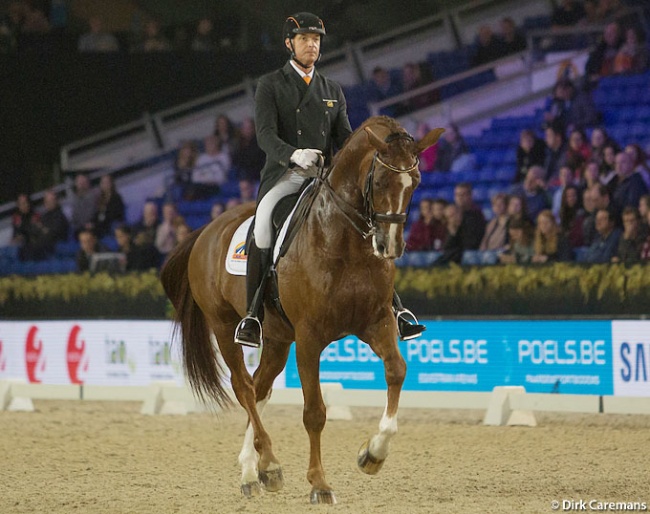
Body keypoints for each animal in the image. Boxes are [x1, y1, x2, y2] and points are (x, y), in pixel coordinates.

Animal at [159, 114, 440, 502]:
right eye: (381, 180)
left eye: (415, 182)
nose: (390, 246)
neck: (343, 242)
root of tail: (206, 230)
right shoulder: (309, 338)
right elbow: (314, 412)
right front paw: (320, 484)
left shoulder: (377, 322)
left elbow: (397, 371)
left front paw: (373, 454)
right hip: (224, 326)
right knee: (243, 386)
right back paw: (269, 462)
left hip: (277, 337)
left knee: (259, 387)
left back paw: (254, 471)